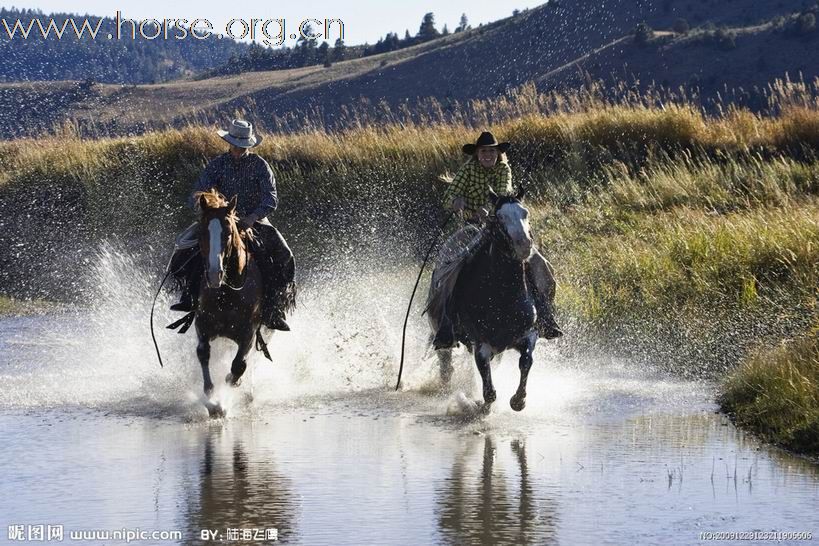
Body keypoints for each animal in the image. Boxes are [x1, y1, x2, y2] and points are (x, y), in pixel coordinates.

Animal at [195, 189, 266, 414]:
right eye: (202, 232)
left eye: (228, 232)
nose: (214, 274)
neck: (227, 292)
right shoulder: (202, 325)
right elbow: (203, 353)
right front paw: (212, 401)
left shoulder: (249, 332)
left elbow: (238, 365)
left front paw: (226, 395)